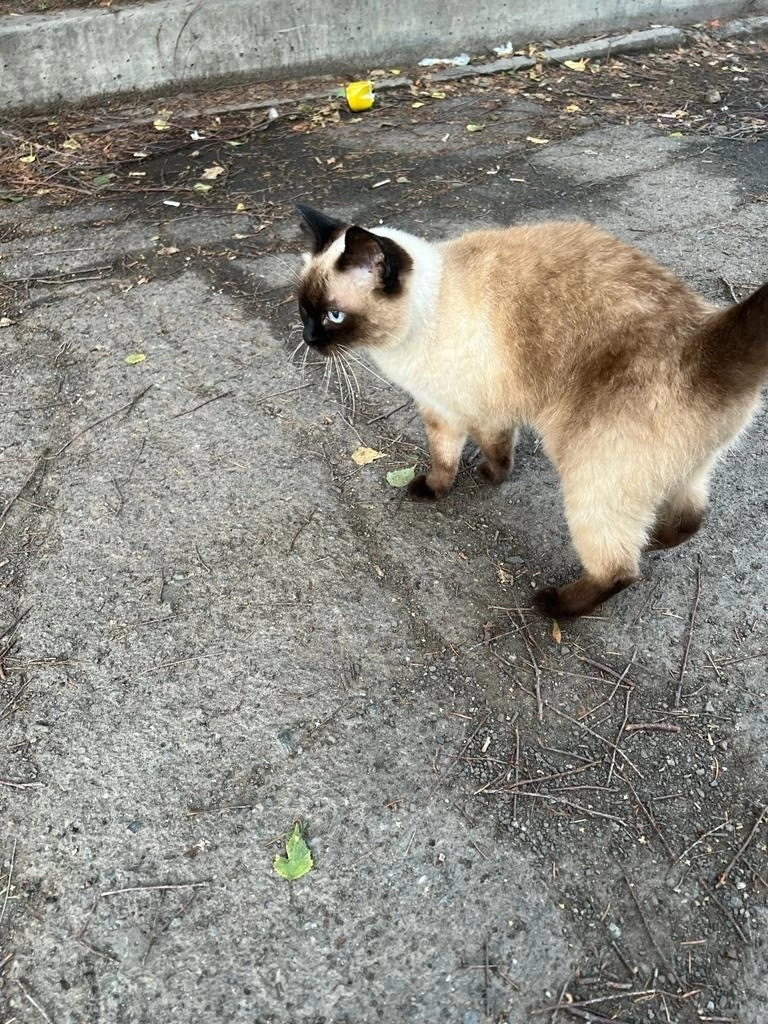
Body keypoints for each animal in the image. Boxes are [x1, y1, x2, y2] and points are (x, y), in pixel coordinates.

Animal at [294, 200, 768, 614]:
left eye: (334, 316)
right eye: (303, 309)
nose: (309, 339)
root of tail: (706, 338)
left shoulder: (472, 411)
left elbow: (480, 453)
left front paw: (481, 479)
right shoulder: (442, 408)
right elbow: (449, 456)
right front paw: (442, 487)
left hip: (593, 481)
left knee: (618, 570)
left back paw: (554, 606)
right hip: (683, 471)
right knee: (689, 520)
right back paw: (651, 541)